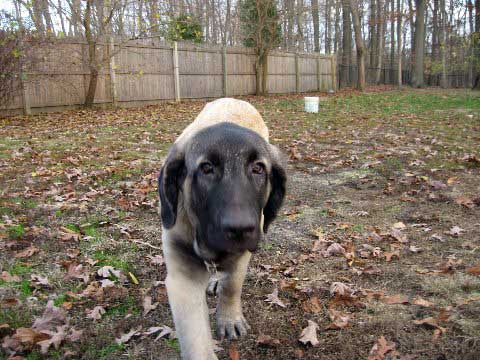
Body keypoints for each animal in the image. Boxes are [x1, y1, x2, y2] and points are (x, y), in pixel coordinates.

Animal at [158, 98, 284, 360]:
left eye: (258, 169)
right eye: (206, 168)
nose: (240, 228)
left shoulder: (242, 253)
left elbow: (232, 285)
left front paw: (228, 318)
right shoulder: (182, 279)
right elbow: (196, 341)